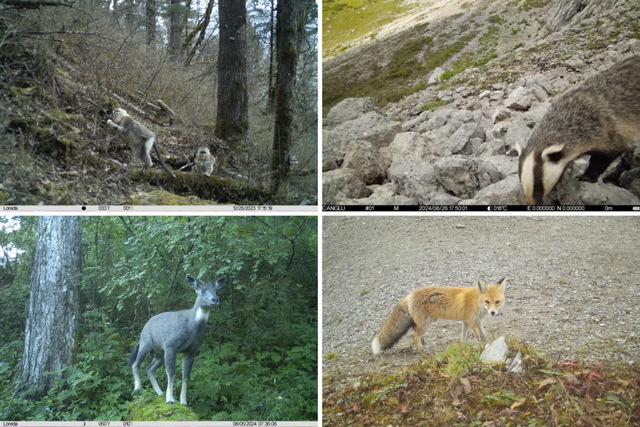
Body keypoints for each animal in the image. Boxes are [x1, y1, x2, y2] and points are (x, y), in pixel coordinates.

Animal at [127, 276, 225, 406]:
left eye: (216, 290)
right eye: (202, 290)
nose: (215, 300)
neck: (191, 328)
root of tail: (144, 327)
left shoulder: (191, 350)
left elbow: (185, 375)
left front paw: (183, 401)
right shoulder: (170, 345)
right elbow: (171, 372)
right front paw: (170, 399)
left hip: (159, 352)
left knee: (149, 369)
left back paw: (159, 392)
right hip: (145, 342)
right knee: (135, 364)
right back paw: (137, 389)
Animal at [370, 278, 504, 354]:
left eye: (497, 302)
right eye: (487, 302)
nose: (493, 313)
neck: (476, 301)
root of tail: (407, 296)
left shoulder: (470, 321)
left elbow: (467, 337)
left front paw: (464, 347)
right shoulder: (472, 321)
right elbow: (479, 337)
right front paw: (483, 348)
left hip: (426, 322)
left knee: (415, 331)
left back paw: (423, 343)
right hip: (426, 323)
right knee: (414, 336)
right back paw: (422, 352)